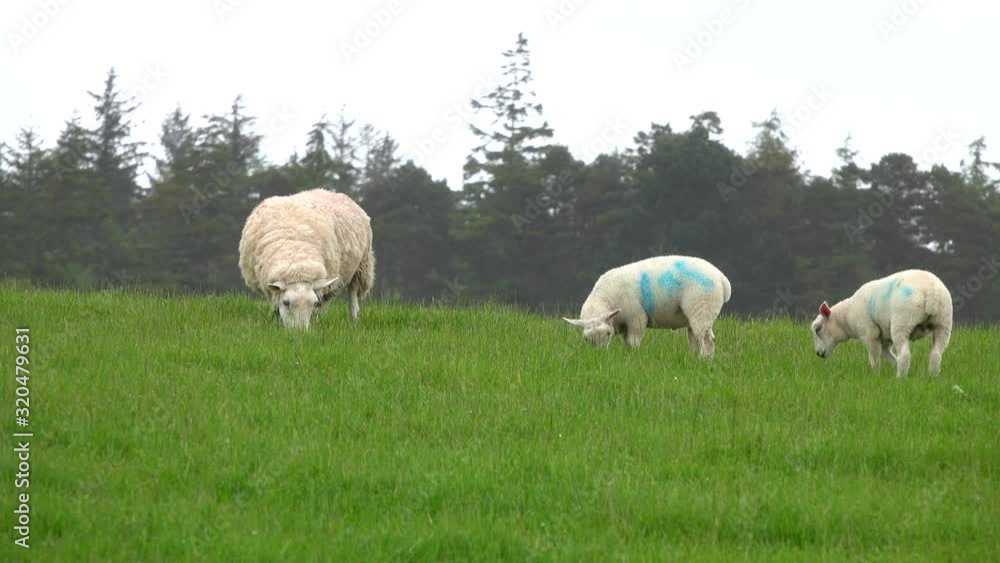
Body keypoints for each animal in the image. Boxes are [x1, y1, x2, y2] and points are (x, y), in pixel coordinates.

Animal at [238, 188, 375, 330]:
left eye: (313, 303)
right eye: (286, 303)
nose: (300, 332)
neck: (294, 257)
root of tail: (335, 193)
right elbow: (276, 305)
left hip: (361, 266)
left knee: (352, 294)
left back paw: (354, 320)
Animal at [563, 256, 732, 356]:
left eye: (608, 334)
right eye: (586, 339)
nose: (600, 356)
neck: (606, 298)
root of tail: (722, 278)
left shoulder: (636, 318)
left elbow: (633, 342)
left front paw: (633, 356)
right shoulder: (625, 324)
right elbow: (626, 343)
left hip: (703, 307)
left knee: (707, 339)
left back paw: (705, 359)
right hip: (696, 313)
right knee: (695, 338)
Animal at [811, 269, 953, 377]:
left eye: (818, 329)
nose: (818, 353)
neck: (847, 316)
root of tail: (932, 292)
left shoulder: (869, 333)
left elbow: (874, 358)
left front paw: (875, 375)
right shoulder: (884, 338)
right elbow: (889, 356)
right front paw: (894, 367)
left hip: (902, 321)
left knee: (905, 354)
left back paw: (900, 377)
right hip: (943, 323)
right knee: (936, 353)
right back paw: (932, 375)